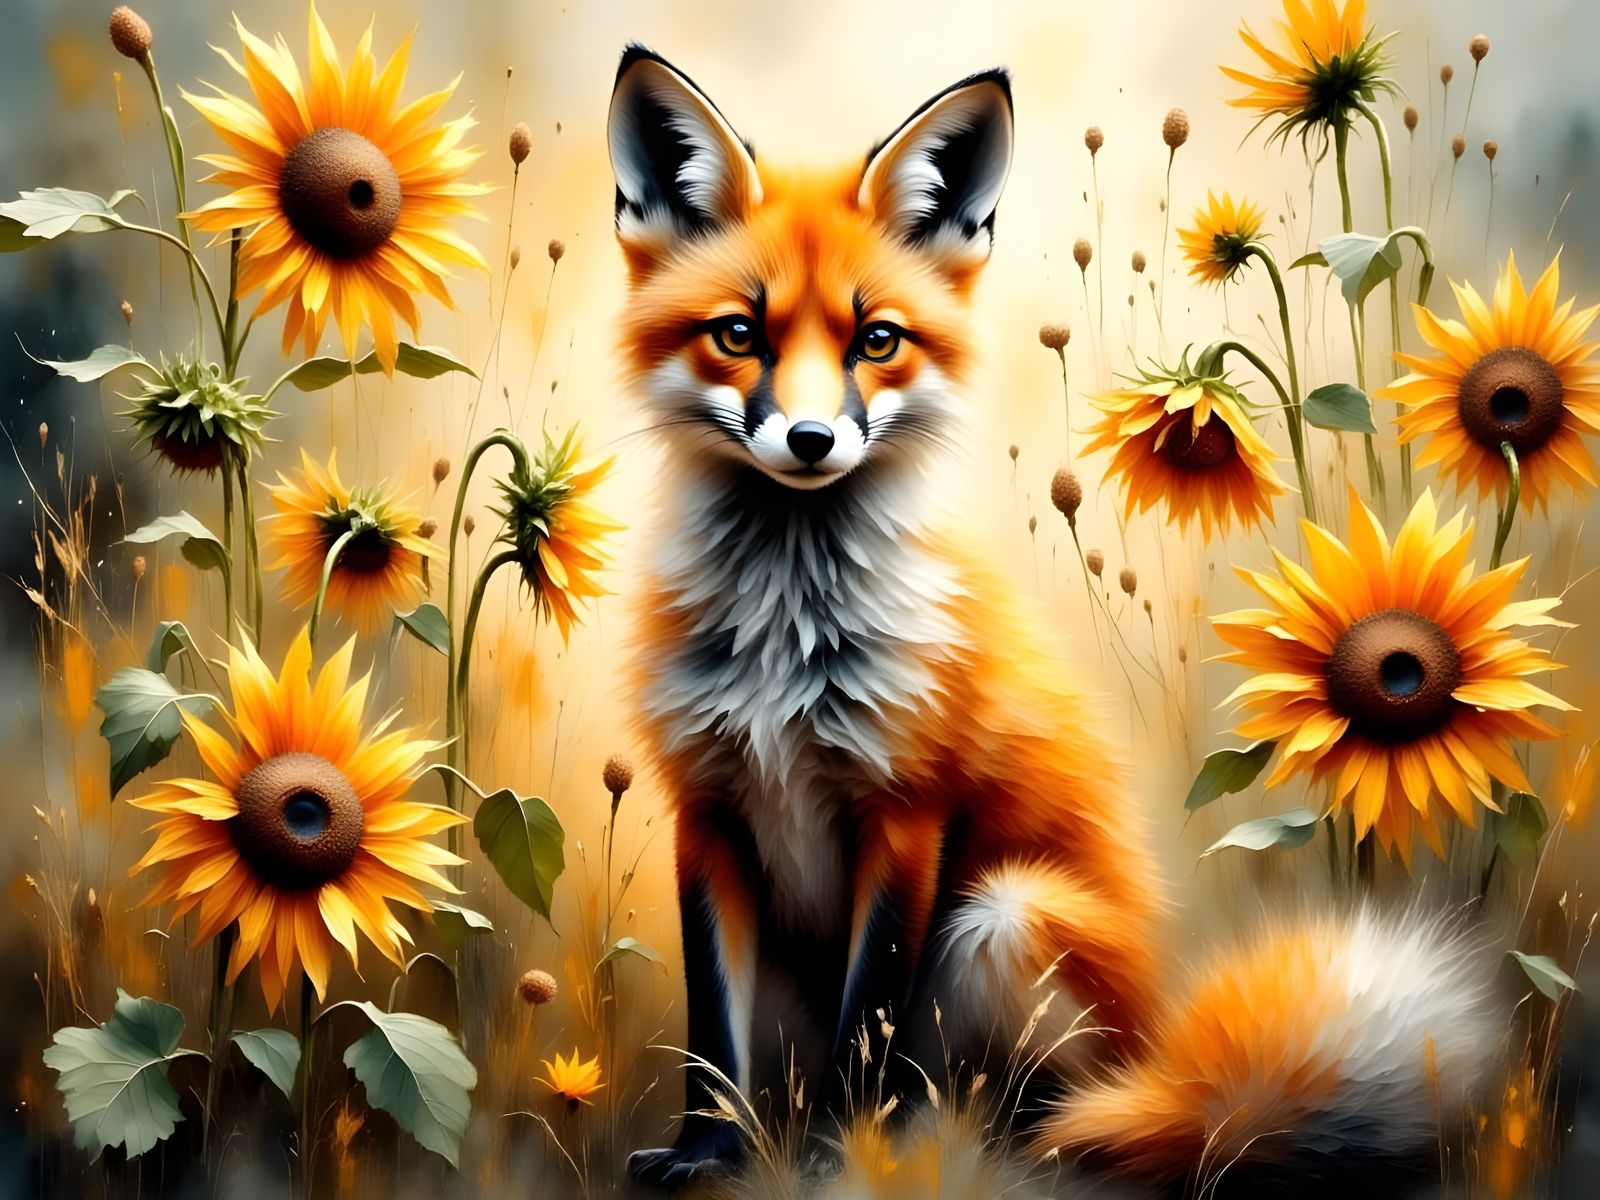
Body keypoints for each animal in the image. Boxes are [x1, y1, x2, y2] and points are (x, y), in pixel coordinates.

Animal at [606, 47, 1498, 1193]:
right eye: (738, 335)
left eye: (877, 341)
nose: (809, 441)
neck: (785, 639)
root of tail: (1165, 1068)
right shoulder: (706, 810)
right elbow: (712, 1033)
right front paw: (709, 1152)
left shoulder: (905, 812)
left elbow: (867, 1025)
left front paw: (841, 1159)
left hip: (1004, 918)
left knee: (1046, 1121)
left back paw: (975, 1139)